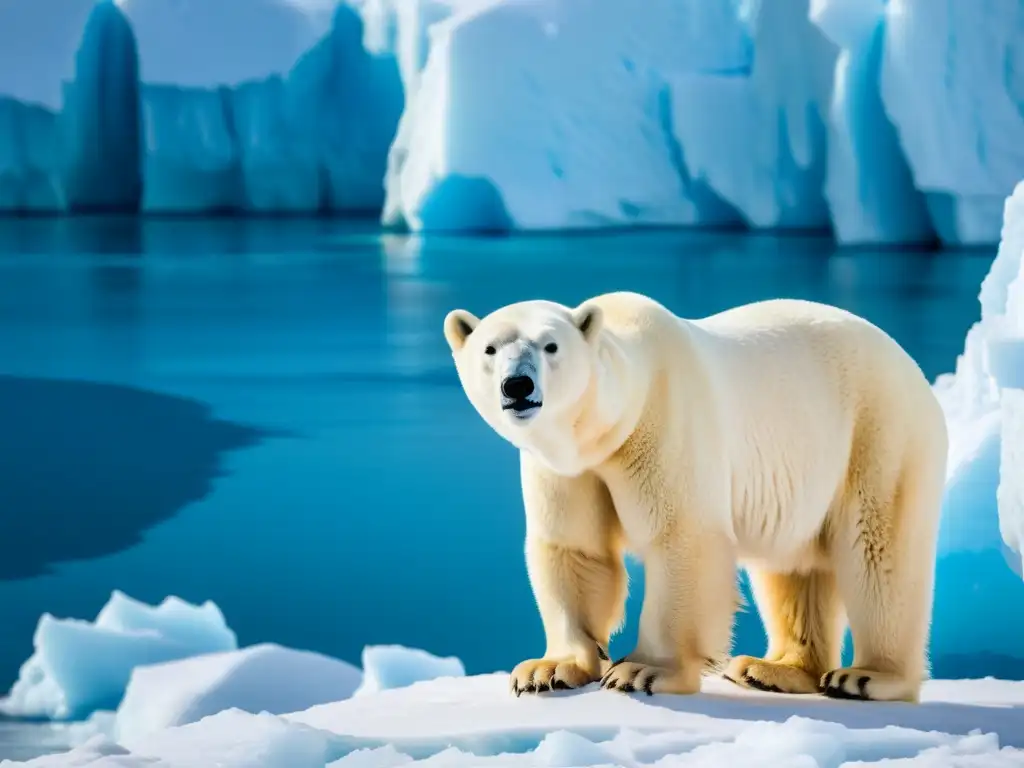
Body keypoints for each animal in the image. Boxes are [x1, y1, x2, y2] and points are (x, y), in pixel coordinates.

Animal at [444, 292, 946, 704]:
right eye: (490, 349)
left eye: (551, 347)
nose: (518, 386)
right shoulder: (567, 468)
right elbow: (575, 549)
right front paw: (546, 670)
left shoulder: (667, 422)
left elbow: (682, 538)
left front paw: (642, 670)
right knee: (794, 566)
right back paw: (773, 669)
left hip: (878, 434)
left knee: (877, 551)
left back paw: (865, 677)